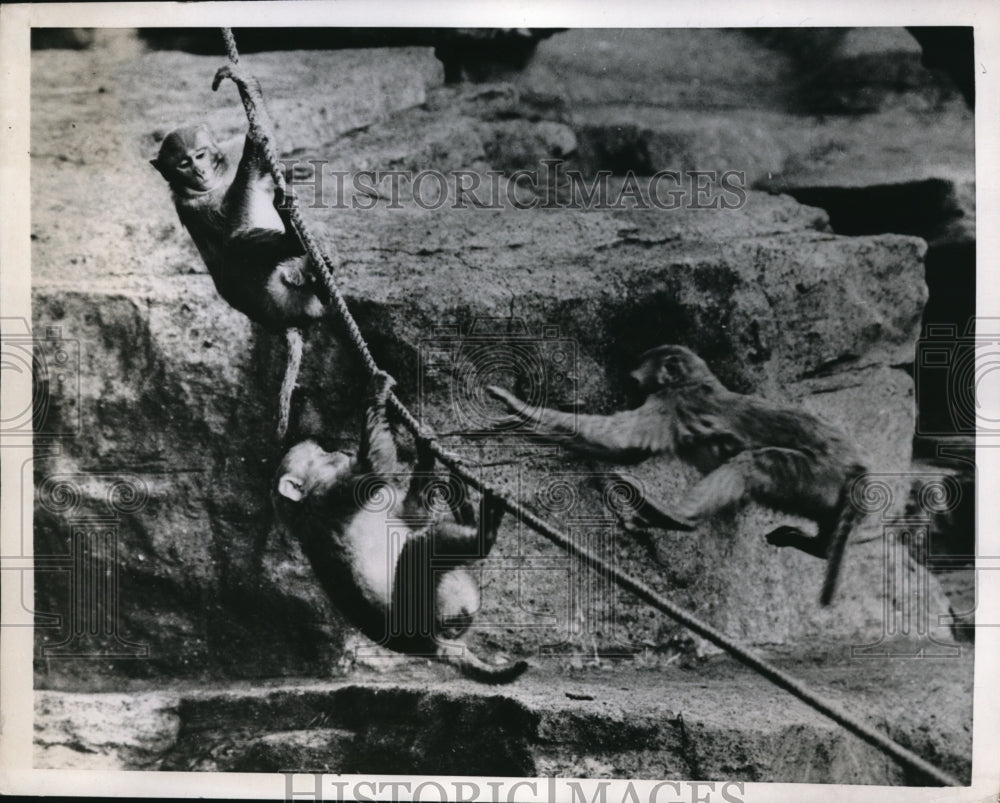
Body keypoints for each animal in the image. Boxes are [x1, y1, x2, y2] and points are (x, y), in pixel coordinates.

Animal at [270, 372, 528, 684]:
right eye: (320, 453)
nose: (334, 450)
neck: (306, 499)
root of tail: (430, 644)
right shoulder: (330, 494)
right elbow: (375, 466)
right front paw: (376, 389)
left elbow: (411, 515)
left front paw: (425, 450)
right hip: (418, 611)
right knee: (422, 549)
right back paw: (483, 534)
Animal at [486, 344, 868, 604]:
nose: (631, 378)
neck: (696, 379)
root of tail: (853, 466)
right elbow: (624, 449)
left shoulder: (670, 402)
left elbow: (622, 441)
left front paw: (520, 408)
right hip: (821, 487)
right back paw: (819, 546)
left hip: (812, 472)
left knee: (753, 464)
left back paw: (677, 517)